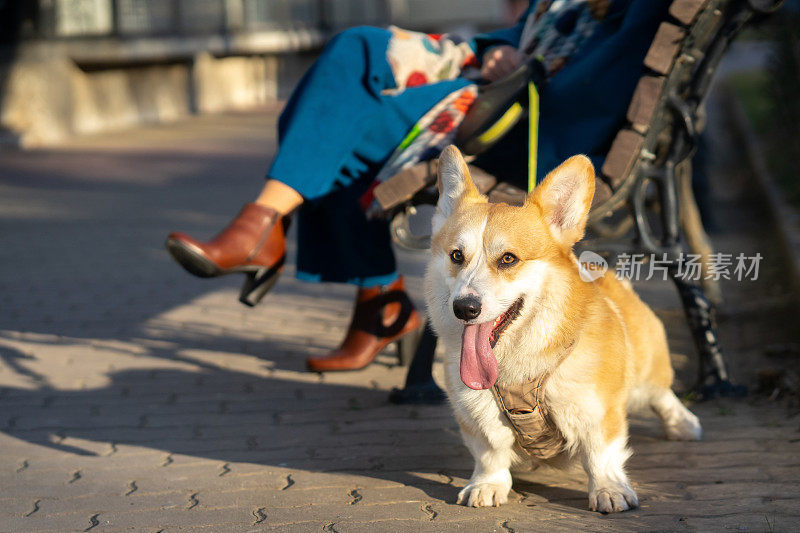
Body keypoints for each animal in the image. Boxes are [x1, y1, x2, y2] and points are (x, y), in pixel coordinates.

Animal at [424, 144, 700, 512]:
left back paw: (682, 423)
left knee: (661, 392)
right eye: (457, 256)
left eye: (508, 259)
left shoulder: (598, 410)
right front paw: (486, 485)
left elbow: (601, 454)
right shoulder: (475, 419)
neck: (515, 366)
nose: (464, 308)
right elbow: (489, 454)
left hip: (647, 370)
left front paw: (609, 490)